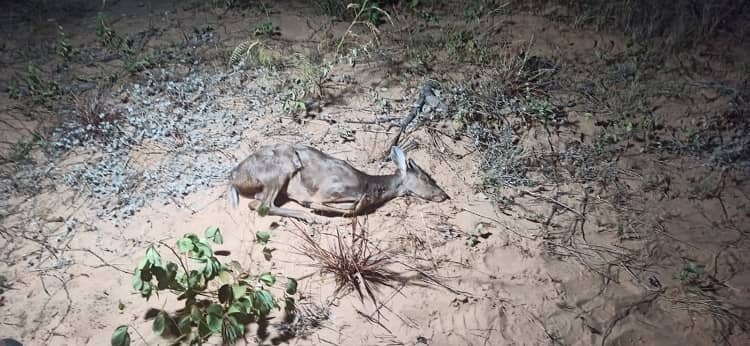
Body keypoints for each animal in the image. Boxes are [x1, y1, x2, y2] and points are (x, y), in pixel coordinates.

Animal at [228, 143, 452, 222]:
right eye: (426, 178)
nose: (444, 195)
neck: (370, 186)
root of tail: (233, 176)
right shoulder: (331, 189)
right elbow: (353, 207)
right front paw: (314, 208)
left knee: (256, 201)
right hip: (280, 169)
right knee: (263, 205)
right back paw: (312, 218)